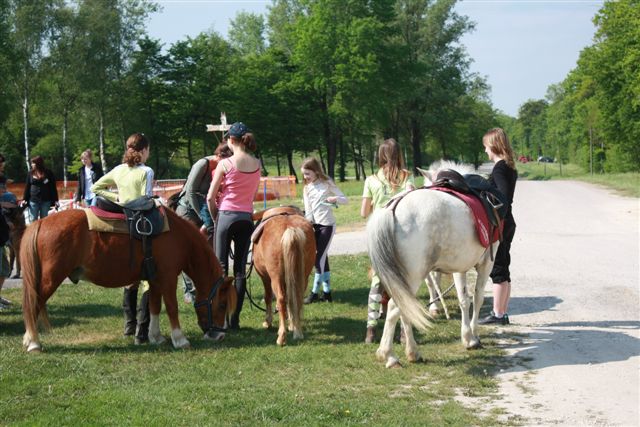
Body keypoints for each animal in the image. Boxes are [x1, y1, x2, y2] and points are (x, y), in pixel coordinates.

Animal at [22, 206, 239, 352]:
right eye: (221, 305)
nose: (220, 335)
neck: (178, 236)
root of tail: (40, 222)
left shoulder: (155, 279)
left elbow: (154, 306)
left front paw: (156, 336)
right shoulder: (168, 277)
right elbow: (171, 307)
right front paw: (180, 339)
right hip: (50, 279)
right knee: (33, 304)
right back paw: (33, 343)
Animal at [252, 207, 318, 348]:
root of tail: (290, 228)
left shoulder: (265, 277)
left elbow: (268, 297)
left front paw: (268, 321)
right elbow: (290, 298)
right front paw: (292, 324)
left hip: (275, 278)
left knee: (281, 299)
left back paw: (281, 337)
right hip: (302, 276)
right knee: (296, 297)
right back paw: (296, 329)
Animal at [368, 160, 498, 368]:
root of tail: (392, 208)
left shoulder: (460, 267)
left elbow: (463, 300)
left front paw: (467, 337)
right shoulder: (487, 264)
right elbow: (477, 298)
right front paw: (474, 337)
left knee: (404, 308)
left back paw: (412, 352)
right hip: (412, 276)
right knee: (396, 308)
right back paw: (389, 355)